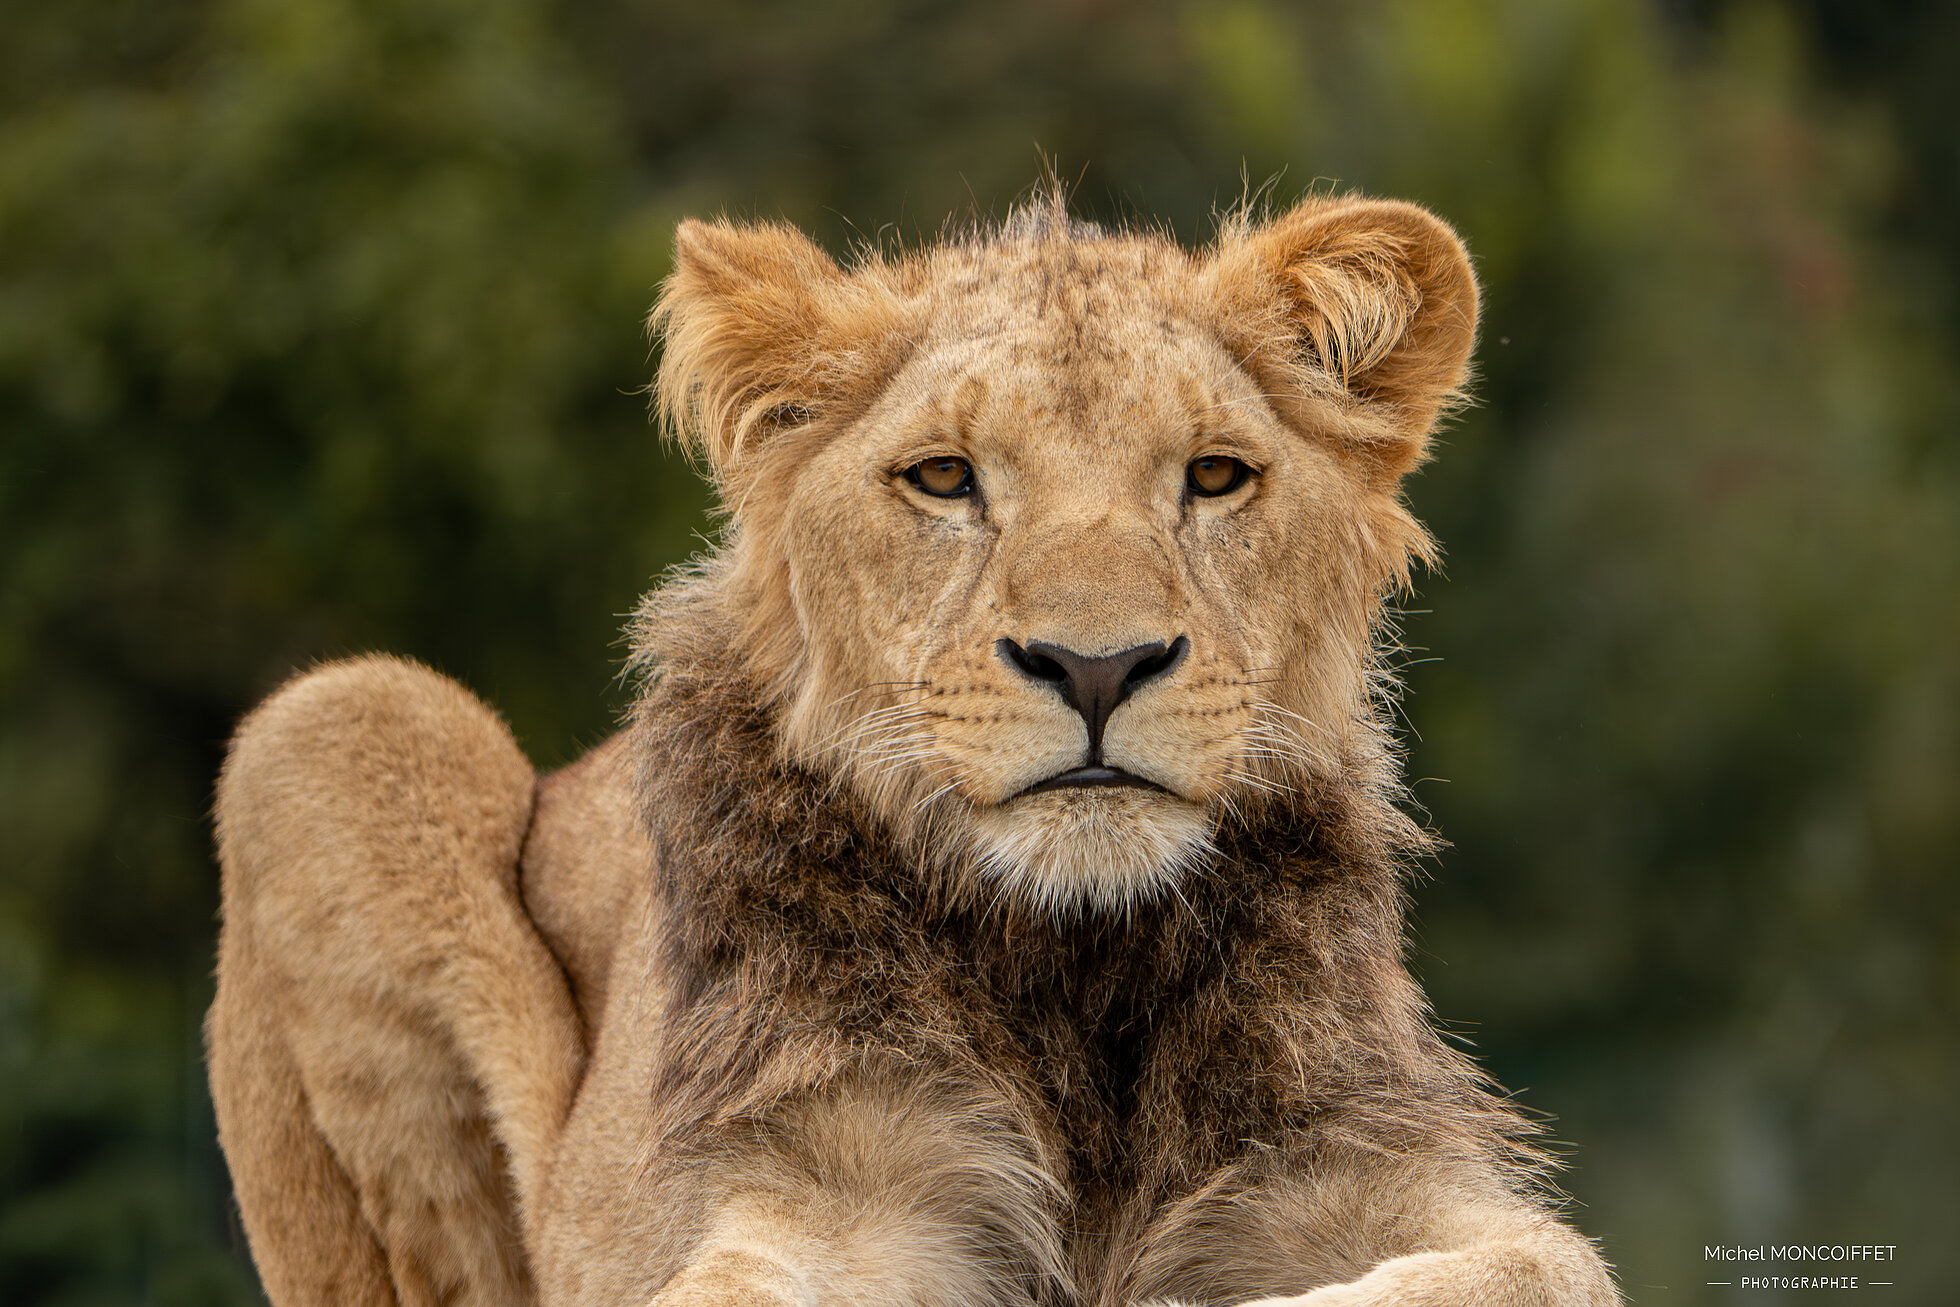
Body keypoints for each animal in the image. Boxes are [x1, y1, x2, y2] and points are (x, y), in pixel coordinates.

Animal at [205, 189, 1620, 1307]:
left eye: (1215, 477)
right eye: (944, 477)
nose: (1095, 665)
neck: (1074, 970)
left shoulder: (1363, 1161)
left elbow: (1539, 1265)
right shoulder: (829, 1186)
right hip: (334, 721)